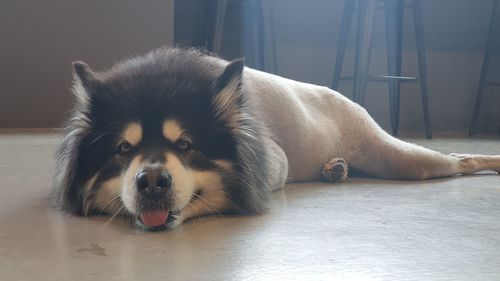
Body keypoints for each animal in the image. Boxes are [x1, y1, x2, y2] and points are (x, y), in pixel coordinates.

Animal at [52, 46, 500, 230]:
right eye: (122, 149)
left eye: (185, 145)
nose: (151, 182)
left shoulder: (275, 161)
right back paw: (335, 168)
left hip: (402, 159)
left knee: (459, 160)